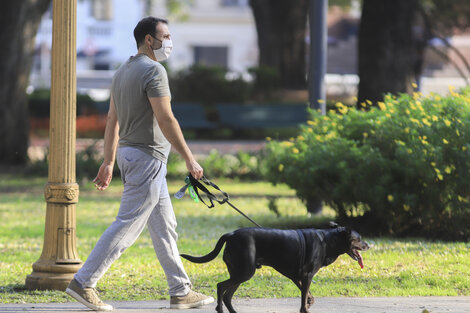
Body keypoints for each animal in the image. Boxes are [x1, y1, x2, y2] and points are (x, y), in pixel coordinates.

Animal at [182, 223, 370, 310]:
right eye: (359, 239)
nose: (369, 245)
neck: (328, 240)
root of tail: (231, 234)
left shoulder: (297, 277)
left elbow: (309, 296)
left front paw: (309, 303)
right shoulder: (307, 276)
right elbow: (304, 299)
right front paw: (305, 308)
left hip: (240, 272)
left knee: (228, 296)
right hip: (244, 272)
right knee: (221, 287)